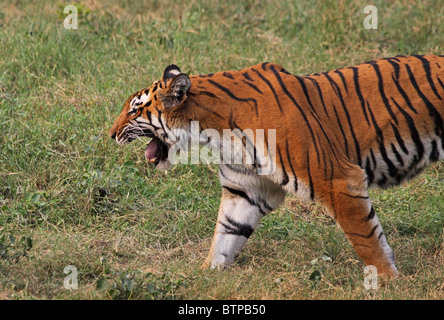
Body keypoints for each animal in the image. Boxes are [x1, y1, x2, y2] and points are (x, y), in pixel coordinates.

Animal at [108, 55, 444, 276]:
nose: (110, 134)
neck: (214, 132)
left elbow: (366, 239)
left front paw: (389, 282)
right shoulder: (245, 190)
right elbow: (226, 234)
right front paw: (205, 274)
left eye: (134, 110)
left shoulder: (337, 179)